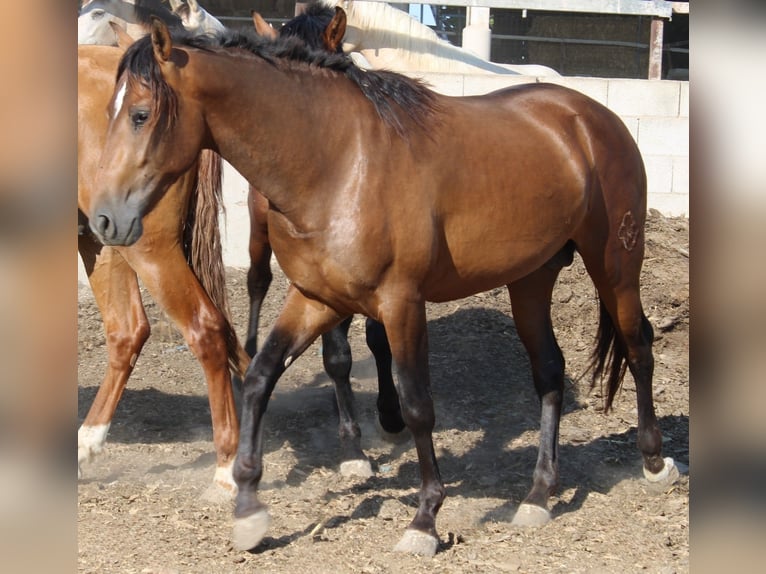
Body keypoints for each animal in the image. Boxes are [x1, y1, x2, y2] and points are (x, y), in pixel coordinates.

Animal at [87, 21, 680, 560]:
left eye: (140, 115)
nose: (104, 219)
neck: (338, 162)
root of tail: (592, 117)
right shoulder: (317, 299)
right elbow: (259, 378)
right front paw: (249, 508)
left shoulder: (401, 304)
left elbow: (417, 406)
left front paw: (425, 520)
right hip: (531, 279)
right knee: (550, 372)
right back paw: (538, 495)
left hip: (615, 267)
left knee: (638, 346)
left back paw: (654, 462)